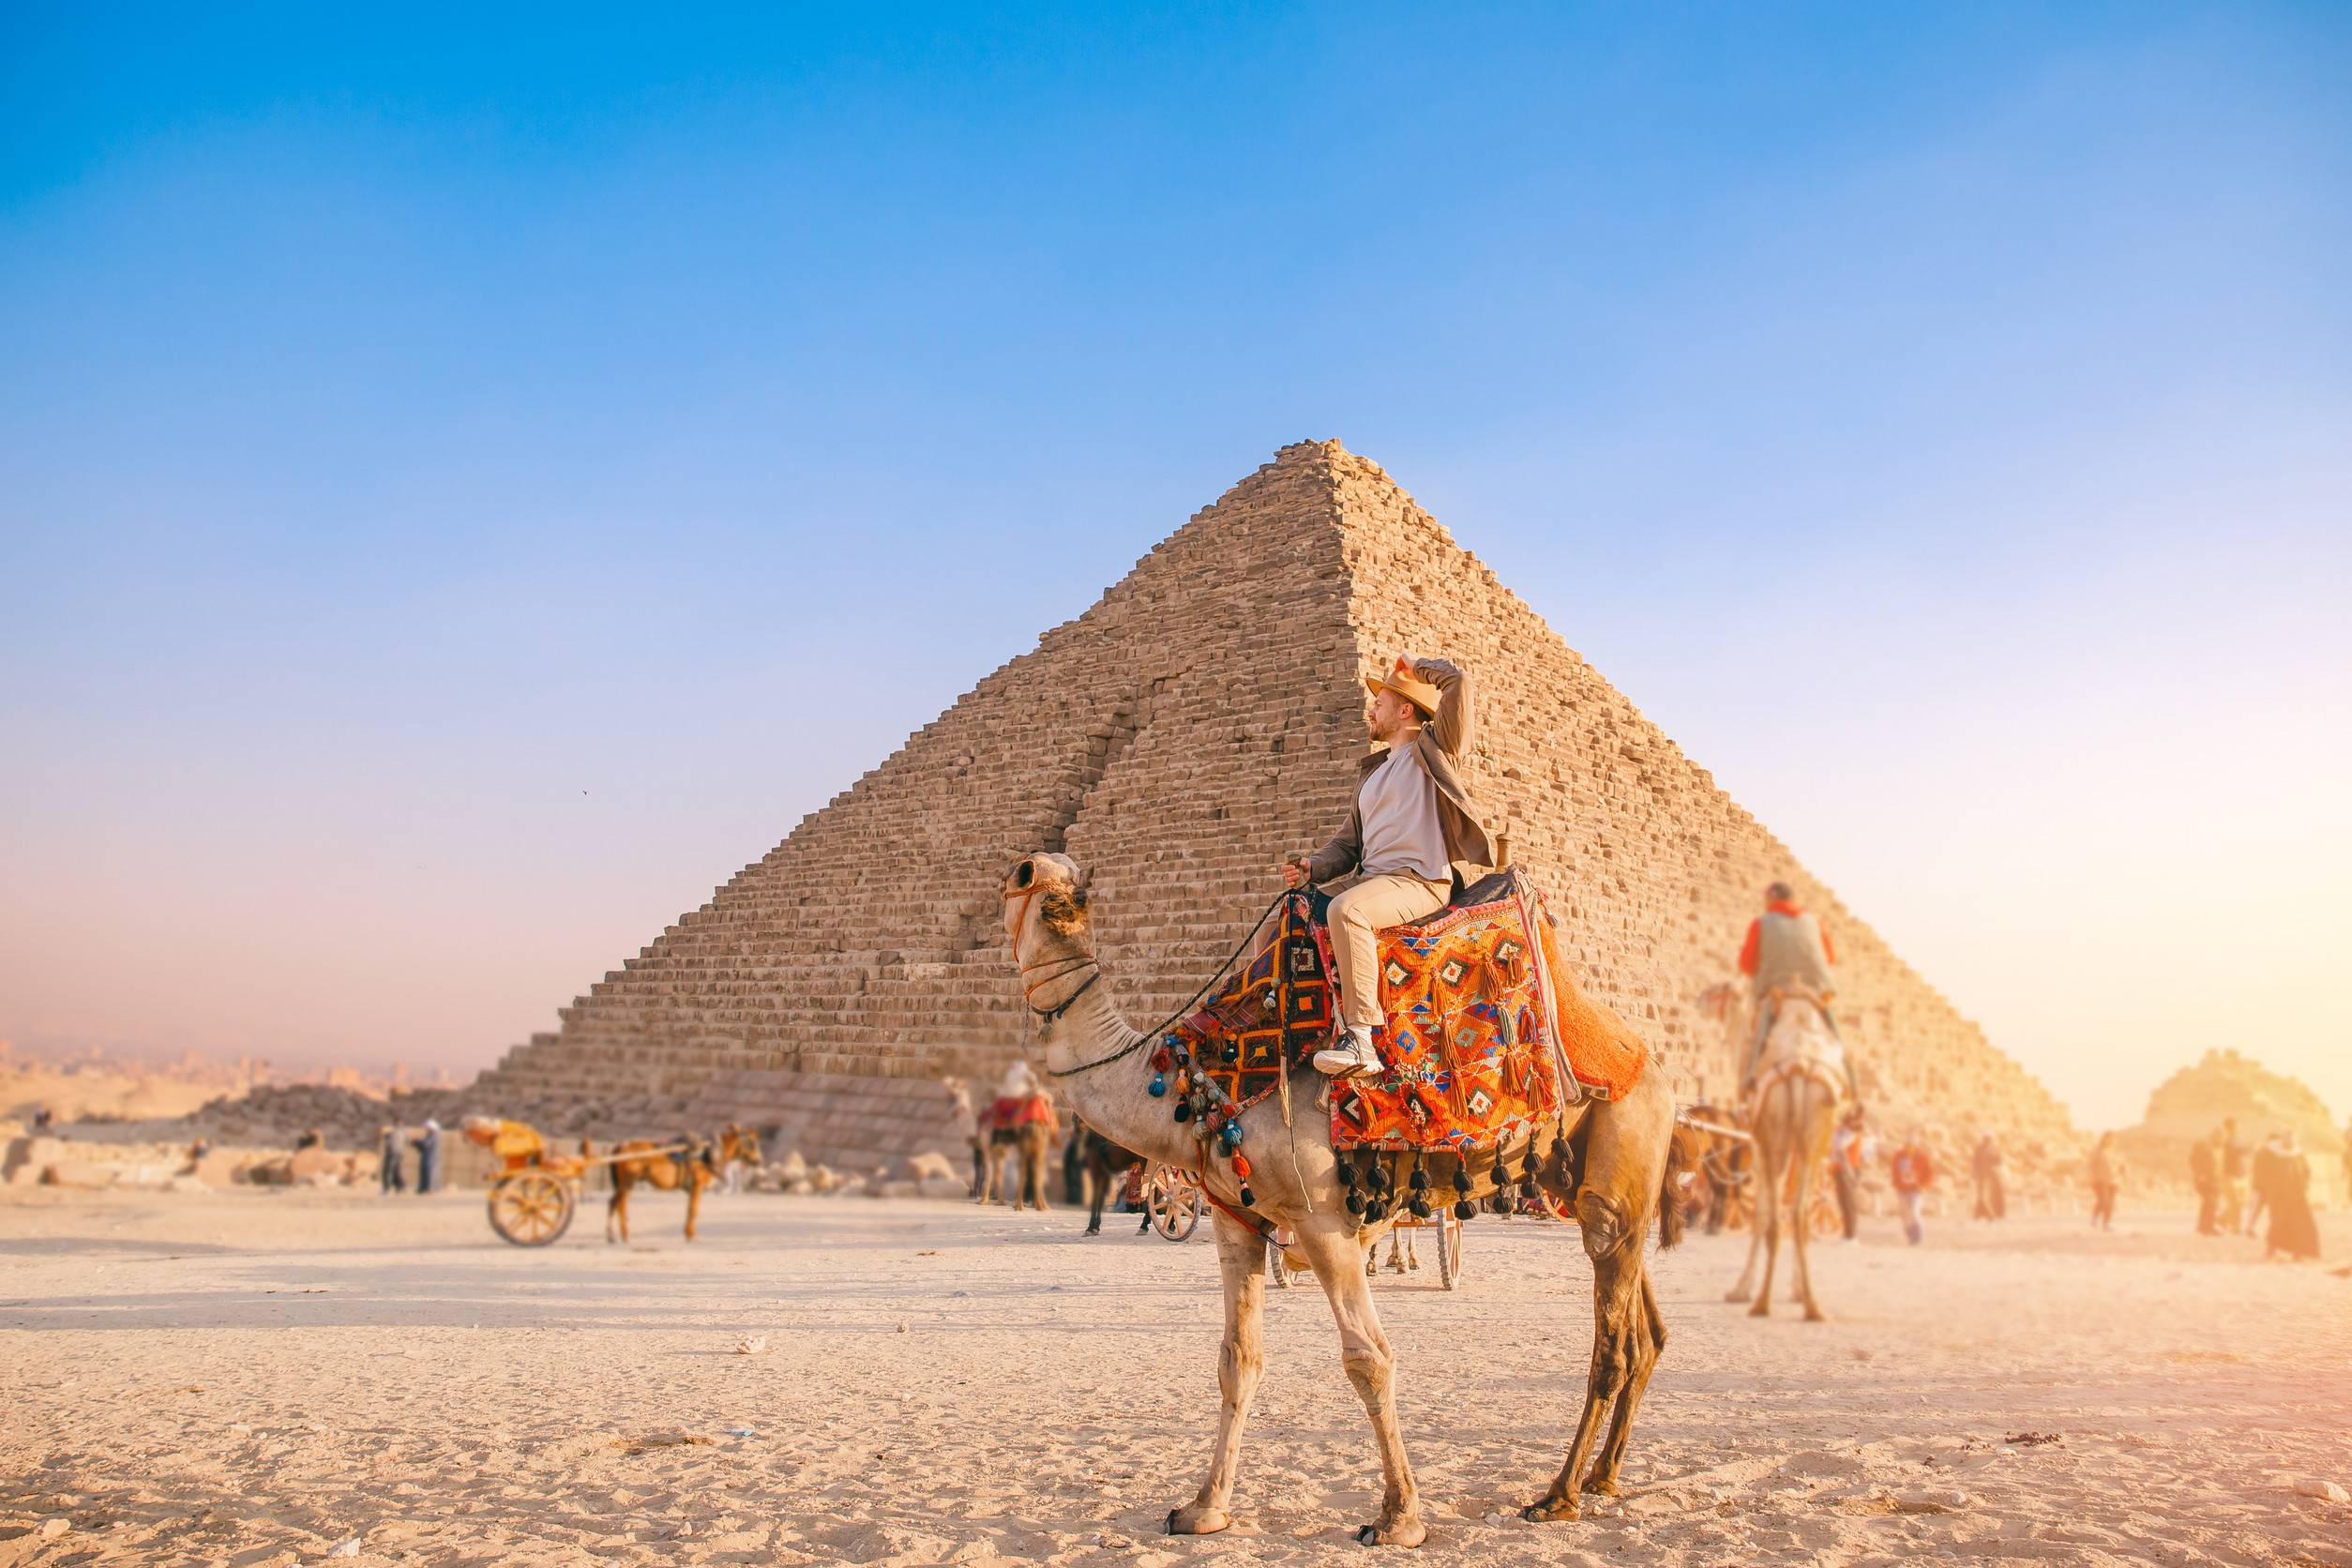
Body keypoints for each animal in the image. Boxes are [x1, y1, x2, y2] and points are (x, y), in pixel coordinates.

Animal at [597, 1125, 763, 1244]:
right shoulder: (697, 1185)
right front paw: (691, 1235)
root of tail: (620, 1146)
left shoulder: (692, 1188)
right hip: (628, 1182)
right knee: (620, 1204)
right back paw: (624, 1235)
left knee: (614, 1202)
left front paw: (688, 1233)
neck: (707, 1154)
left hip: (624, 1184)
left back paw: (613, 1235)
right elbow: (693, 1210)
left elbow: (689, 1209)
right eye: (752, 1143)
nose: (758, 1161)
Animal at [1002, 852, 1684, 1544]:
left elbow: (1368, 1360)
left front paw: (1399, 1517)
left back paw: (1560, 1493)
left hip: (1621, 1152)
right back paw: (1603, 1477)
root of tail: (1648, 1062)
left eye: (1029, 880)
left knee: (1612, 1345)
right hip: (1585, 1182)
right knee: (1645, 1332)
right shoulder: (1236, 1220)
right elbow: (1238, 1359)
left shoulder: (1322, 1220)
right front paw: (1204, 1508)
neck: (1194, 1083)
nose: (1048, 871)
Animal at [1725, 990, 1846, 1320]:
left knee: (1776, 1215)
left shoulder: (1756, 1142)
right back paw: (1810, 1305)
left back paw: (1762, 1301)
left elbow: (1760, 1212)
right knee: (1798, 1213)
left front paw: (1740, 1288)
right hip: (1813, 1130)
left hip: (1774, 1131)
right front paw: (1796, 1290)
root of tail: (1800, 1065)